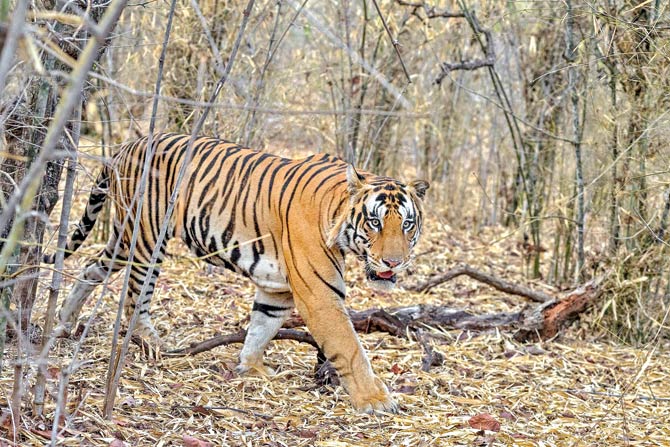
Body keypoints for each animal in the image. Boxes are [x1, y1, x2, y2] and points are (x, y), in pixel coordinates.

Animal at [50, 133, 434, 412]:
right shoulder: (319, 295)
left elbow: (261, 327)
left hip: (123, 238)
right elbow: (350, 349)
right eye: (375, 222)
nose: (394, 263)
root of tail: (129, 144)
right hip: (145, 238)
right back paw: (150, 344)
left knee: (90, 267)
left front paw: (250, 367)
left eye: (407, 224)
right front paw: (375, 400)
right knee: (135, 297)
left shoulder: (277, 289)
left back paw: (65, 320)